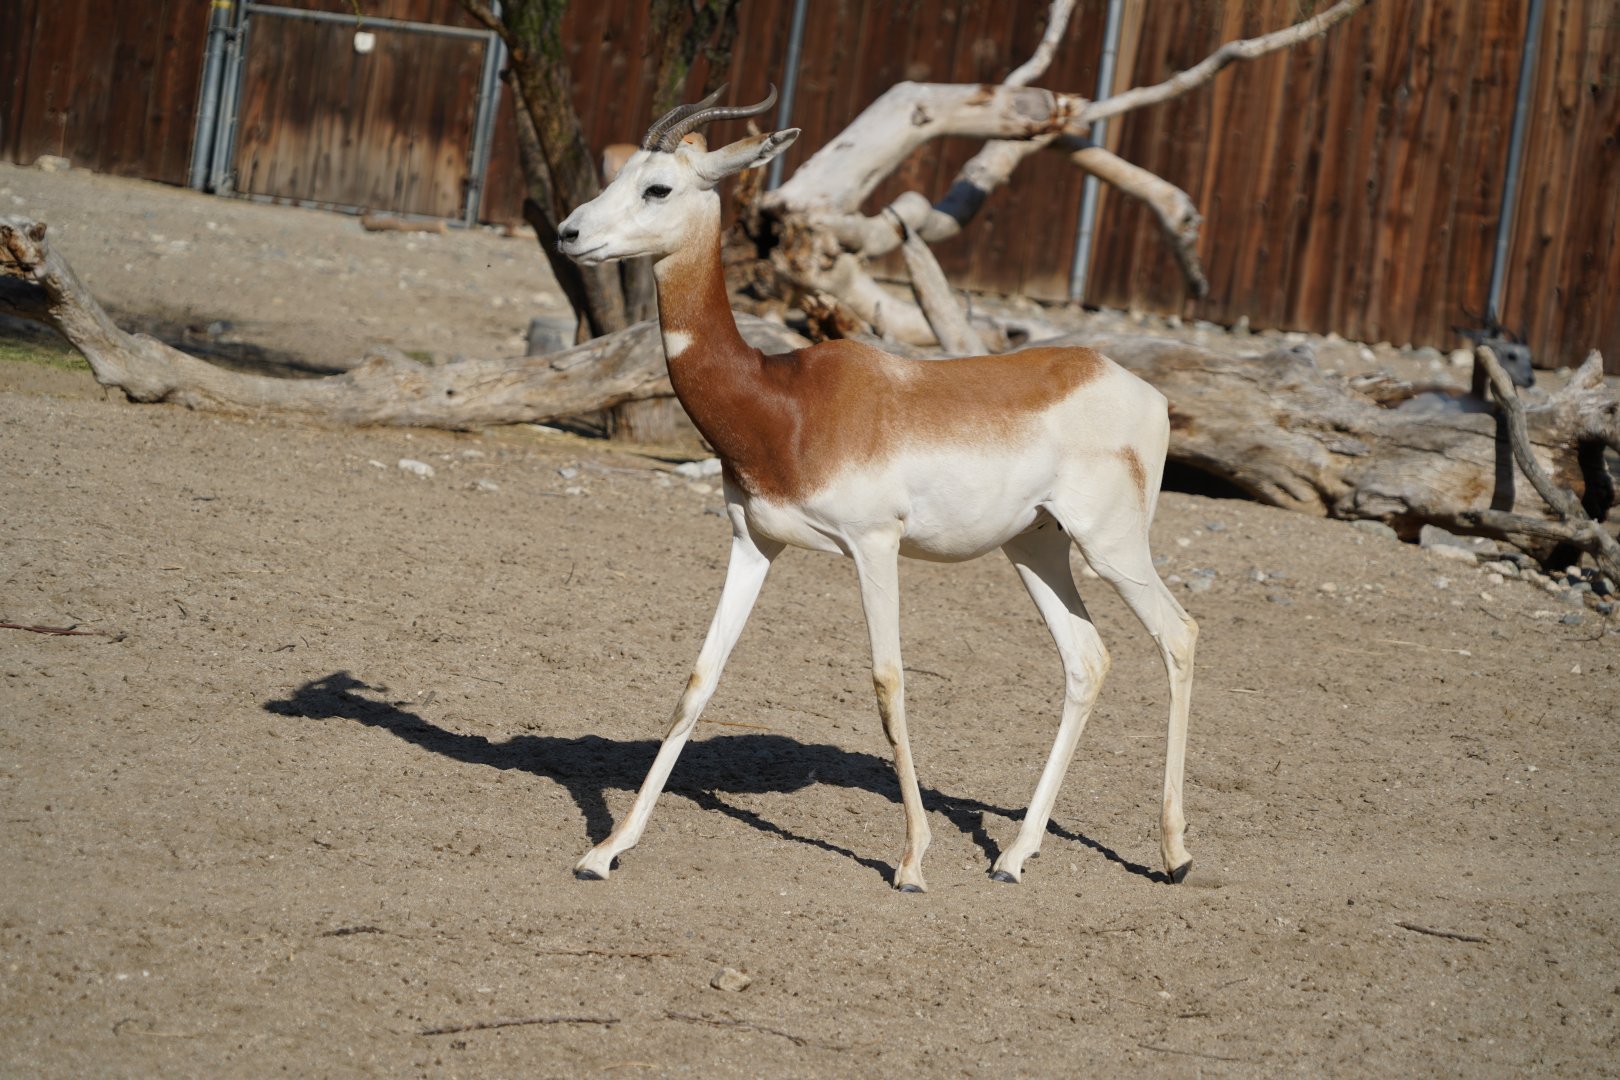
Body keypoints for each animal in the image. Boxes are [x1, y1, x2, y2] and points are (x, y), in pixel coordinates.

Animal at [557, 87, 1198, 892]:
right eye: (620, 174)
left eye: (658, 188)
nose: (570, 232)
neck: (783, 400)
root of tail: (1140, 389)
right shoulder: (752, 541)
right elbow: (697, 681)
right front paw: (606, 849)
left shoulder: (874, 546)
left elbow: (889, 685)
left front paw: (913, 861)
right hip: (1036, 548)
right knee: (1087, 659)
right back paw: (1015, 856)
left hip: (1112, 545)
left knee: (1179, 635)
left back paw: (1174, 854)